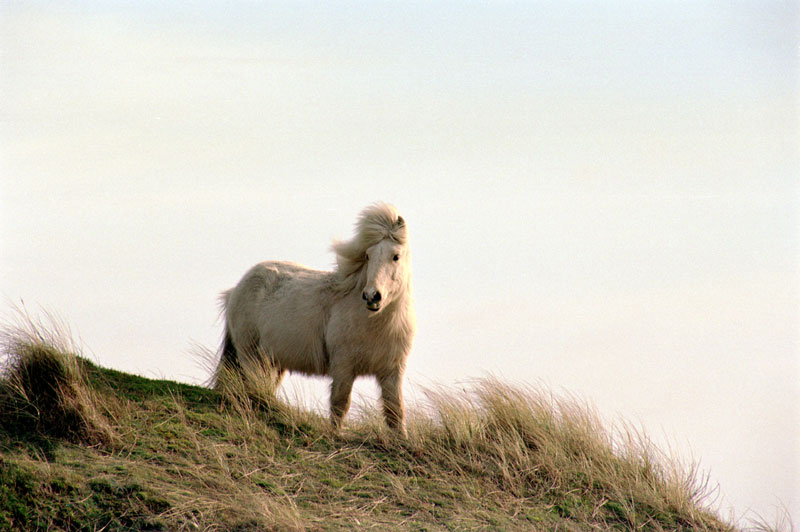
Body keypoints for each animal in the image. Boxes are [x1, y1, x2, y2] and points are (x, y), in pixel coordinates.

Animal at [217, 204, 418, 432]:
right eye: (368, 256)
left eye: (396, 256)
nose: (371, 296)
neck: (376, 323)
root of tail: (235, 290)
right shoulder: (343, 367)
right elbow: (340, 404)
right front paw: (336, 434)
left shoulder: (392, 372)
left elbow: (395, 412)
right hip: (250, 356)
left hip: (273, 363)